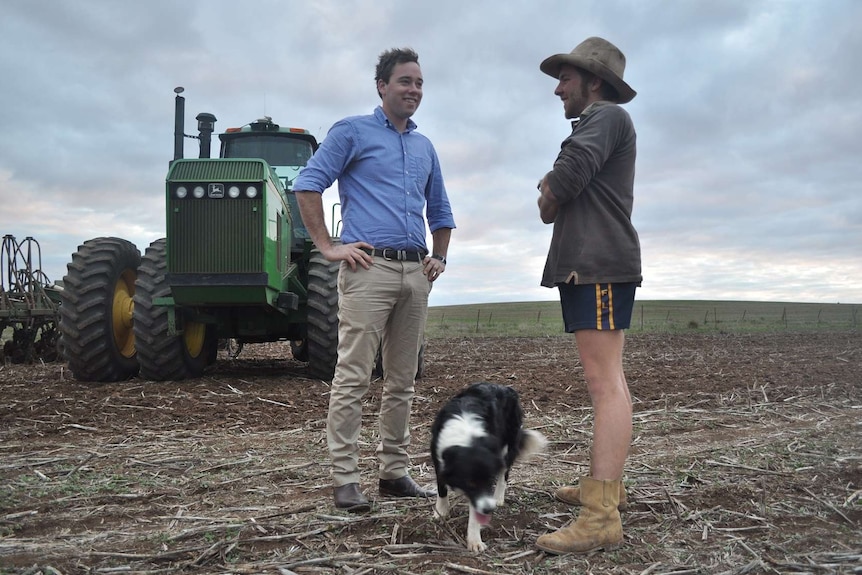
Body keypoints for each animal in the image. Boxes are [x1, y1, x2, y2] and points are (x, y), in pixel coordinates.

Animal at [432, 382, 548, 552]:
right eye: (470, 484)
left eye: (489, 481)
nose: (489, 509)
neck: (467, 440)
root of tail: (503, 386)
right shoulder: (438, 459)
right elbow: (441, 488)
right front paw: (441, 511)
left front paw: (475, 540)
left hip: (508, 445)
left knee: (505, 473)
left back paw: (498, 497)